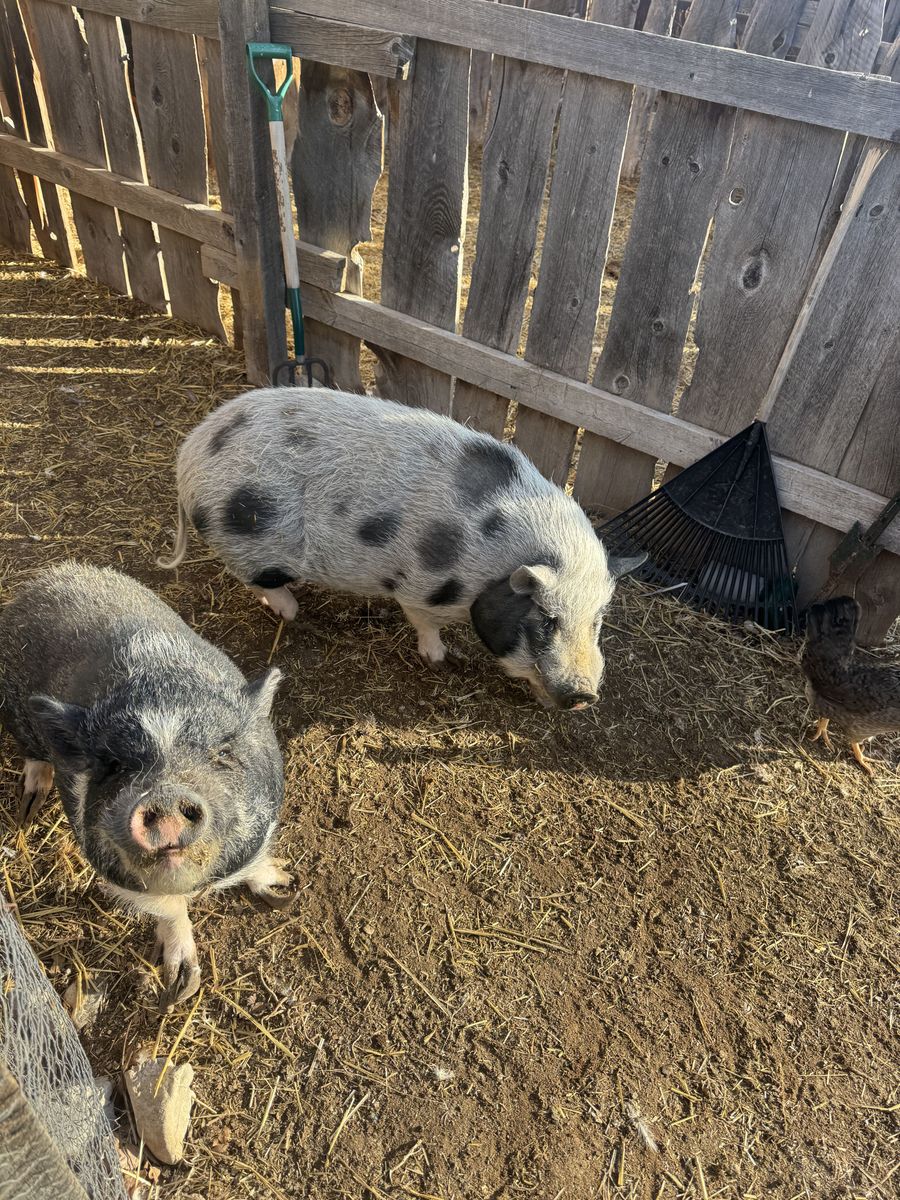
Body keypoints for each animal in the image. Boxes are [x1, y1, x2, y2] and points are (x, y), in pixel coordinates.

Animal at [0, 562, 290, 1009]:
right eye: (115, 765)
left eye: (224, 752)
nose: (166, 795)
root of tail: (46, 578)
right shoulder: (108, 865)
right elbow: (169, 908)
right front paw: (179, 989)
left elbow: (256, 865)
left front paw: (287, 889)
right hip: (14, 711)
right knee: (32, 753)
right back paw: (28, 806)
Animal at [160, 389, 646, 710]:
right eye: (546, 620)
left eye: (598, 619)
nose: (584, 694)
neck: (495, 560)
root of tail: (188, 457)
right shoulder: (419, 588)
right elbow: (424, 624)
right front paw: (439, 659)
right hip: (245, 542)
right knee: (257, 581)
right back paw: (292, 608)